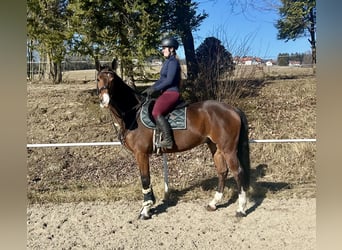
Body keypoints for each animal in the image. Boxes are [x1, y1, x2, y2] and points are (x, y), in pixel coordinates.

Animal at [96, 60, 251, 219]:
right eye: (98, 79)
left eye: (113, 80)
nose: (105, 100)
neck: (133, 113)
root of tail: (232, 109)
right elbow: (146, 179)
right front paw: (148, 206)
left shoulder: (141, 154)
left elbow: (145, 179)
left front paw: (146, 209)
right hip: (215, 147)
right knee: (222, 171)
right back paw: (213, 203)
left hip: (228, 149)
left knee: (238, 172)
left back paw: (241, 209)